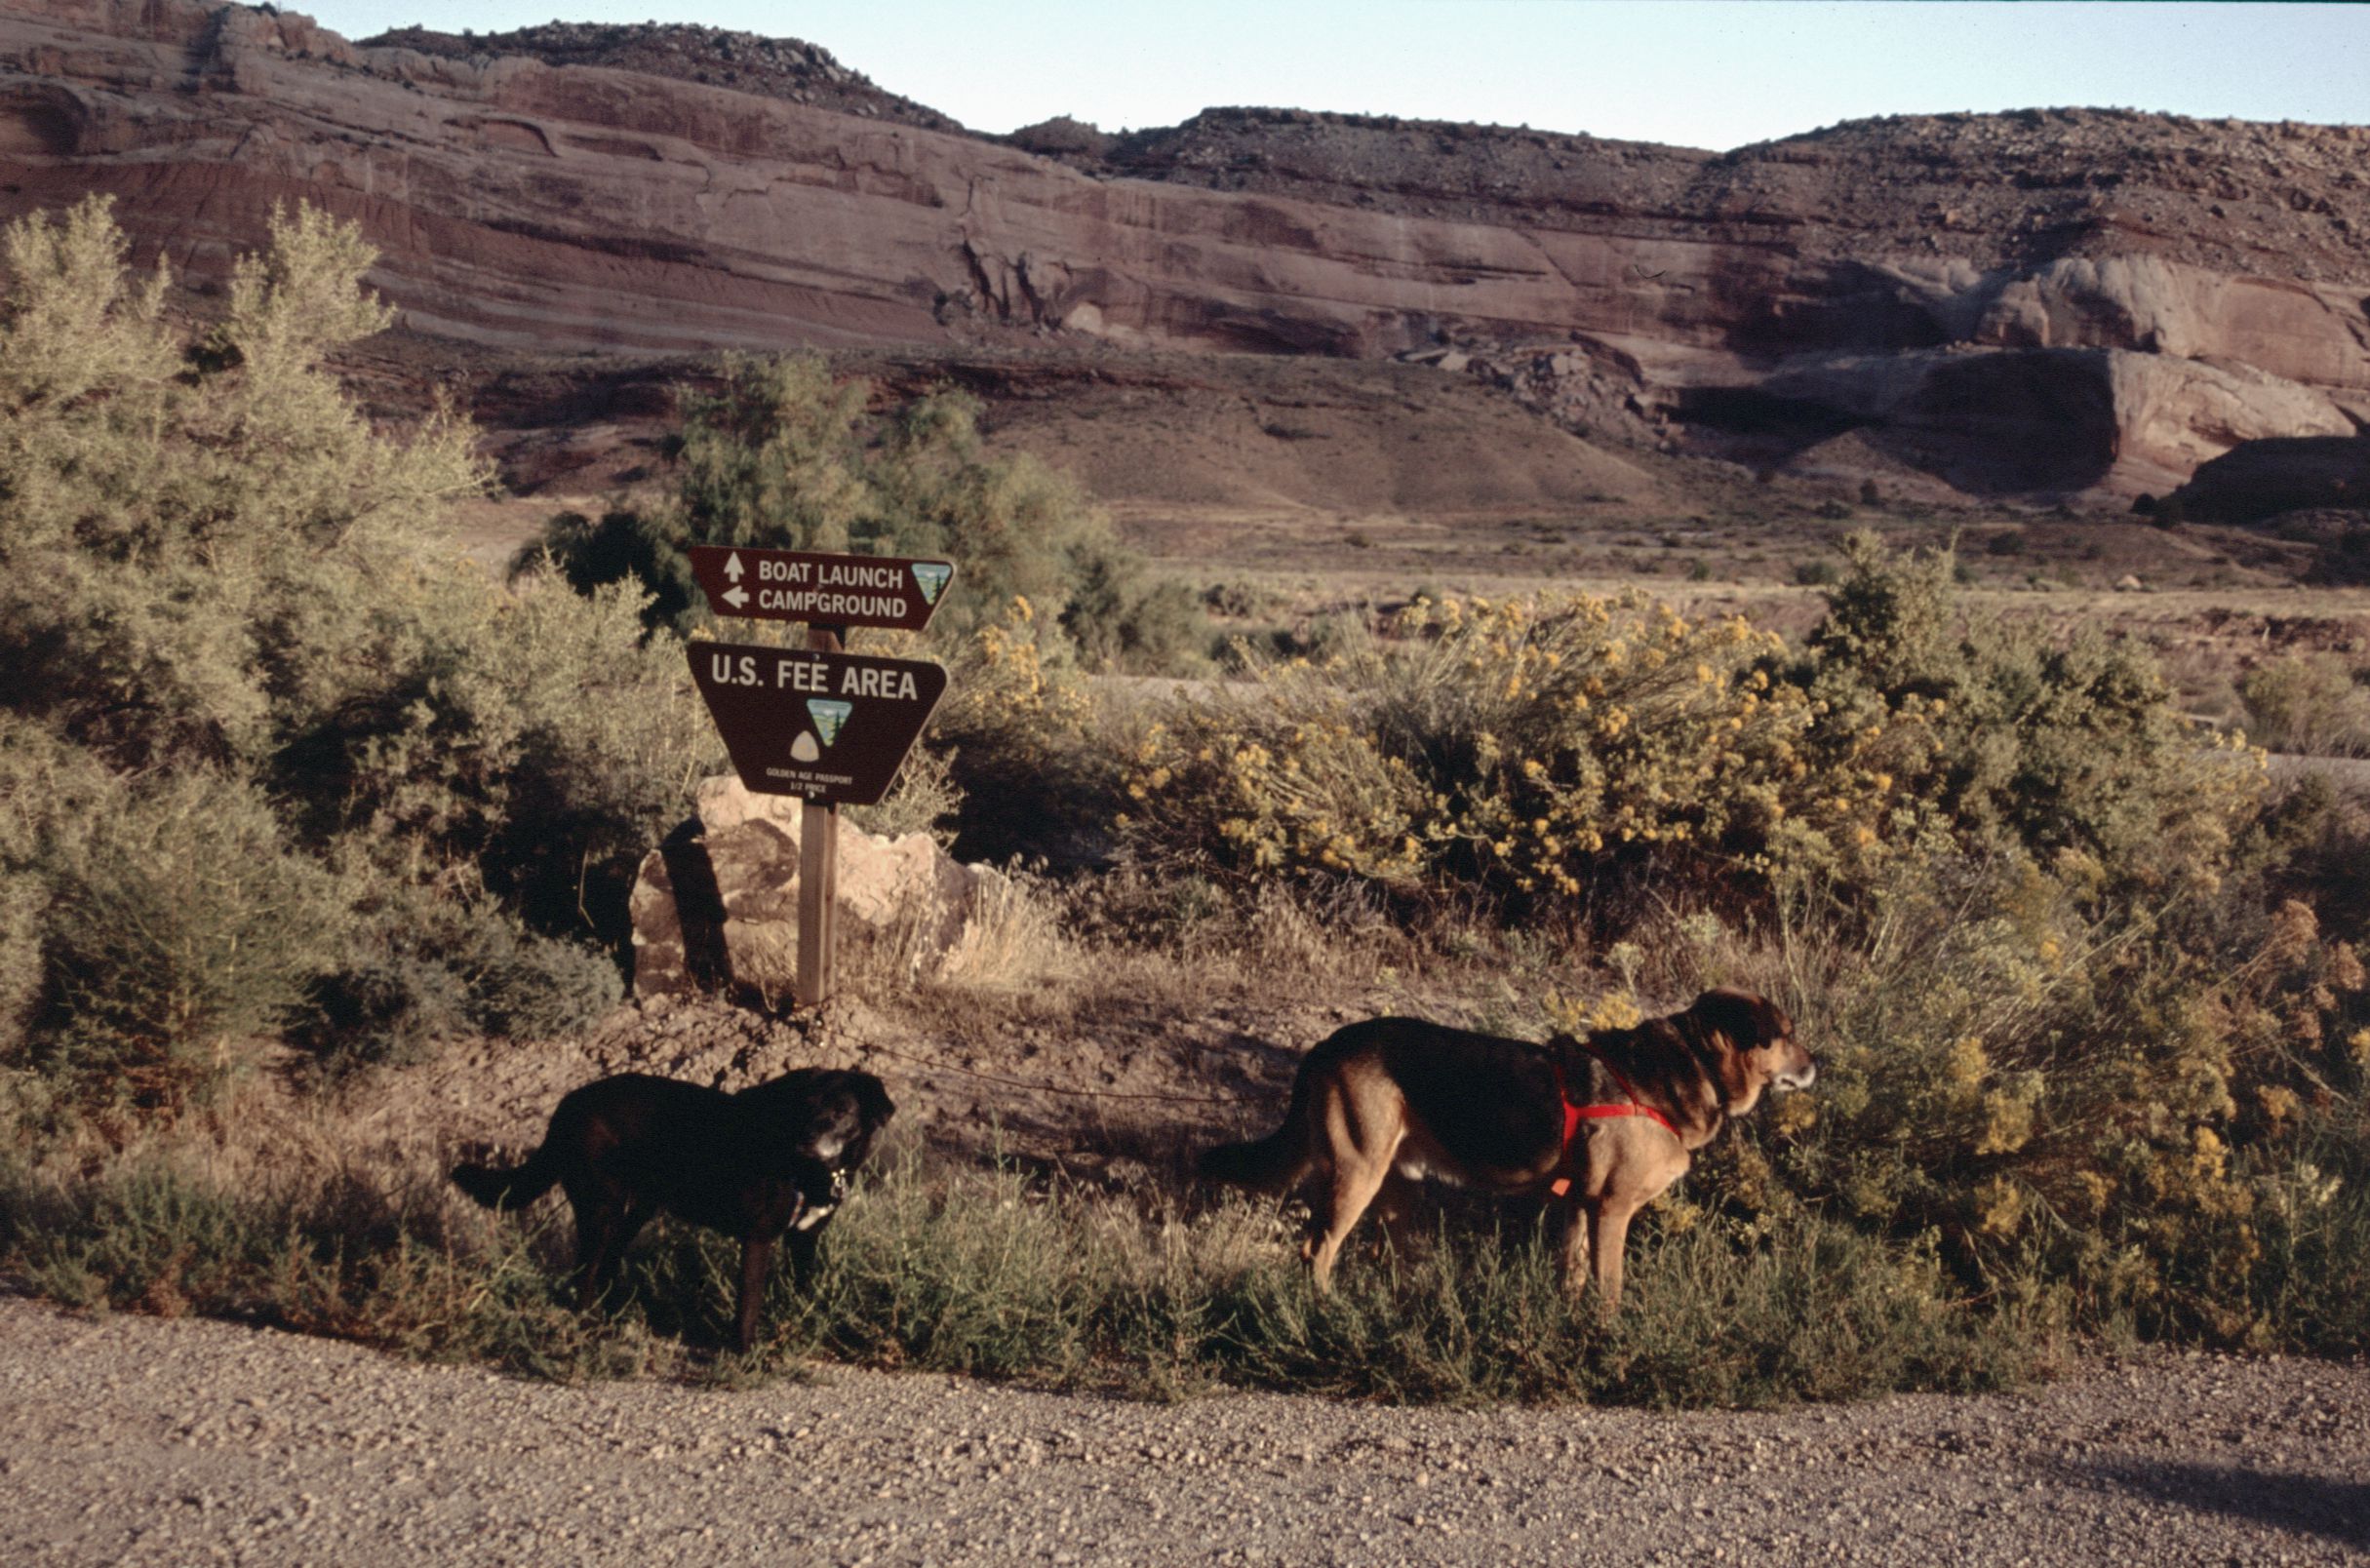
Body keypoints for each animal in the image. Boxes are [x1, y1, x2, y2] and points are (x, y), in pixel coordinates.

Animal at [448, 1075, 890, 1354]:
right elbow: (747, 1305)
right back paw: (586, 1330)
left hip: (633, 1211)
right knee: (585, 1276)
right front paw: (746, 1355)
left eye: (842, 1111)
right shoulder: (758, 1236)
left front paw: (802, 1330)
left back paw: (609, 1324)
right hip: (602, 1208)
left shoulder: (804, 1240)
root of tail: (568, 1103)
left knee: (604, 1266)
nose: (806, 1138)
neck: (811, 1169)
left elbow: (803, 1293)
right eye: (806, 1107)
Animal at [1194, 995, 1820, 1316]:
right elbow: (1610, 1287)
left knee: (1382, 1257)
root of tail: (1325, 1044)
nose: (1817, 1064)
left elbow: (1573, 1276)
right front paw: (1611, 1339)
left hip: (1394, 1188)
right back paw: (1327, 1314)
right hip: (1357, 1173)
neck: (1689, 1064)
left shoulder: (1580, 1206)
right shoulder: (1612, 1209)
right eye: (1787, 1033)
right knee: (1315, 1250)